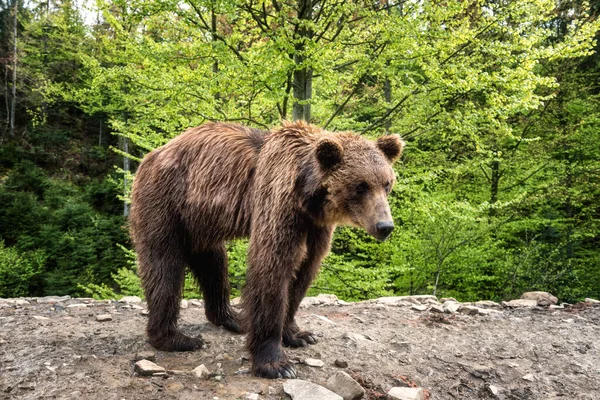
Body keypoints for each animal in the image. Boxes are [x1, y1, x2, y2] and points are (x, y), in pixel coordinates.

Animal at [130, 120, 404, 380]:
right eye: (361, 185)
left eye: (386, 184)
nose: (385, 226)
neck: (308, 197)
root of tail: (151, 156)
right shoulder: (277, 201)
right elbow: (273, 266)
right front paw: (275, 363)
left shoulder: (315, 226)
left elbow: (304, 271)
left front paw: (298, 334)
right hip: (166, 202)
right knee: (164, 267)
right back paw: (176, 338)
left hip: (200, 220)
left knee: (214, 264)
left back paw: (233, 318)